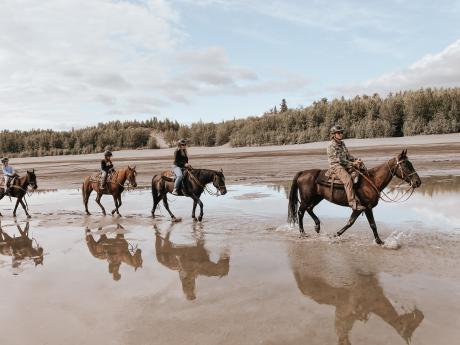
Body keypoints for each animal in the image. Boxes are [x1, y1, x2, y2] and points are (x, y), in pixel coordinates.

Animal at [288, 149, 420, 243]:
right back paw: (302, 233)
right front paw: (379, 241)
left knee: (309, 209)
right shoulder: (367, 207)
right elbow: (372, 224)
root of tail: (303, 173)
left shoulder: (358, 209)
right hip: (306, 198)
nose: (418, 182)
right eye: (406, 165)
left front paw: (335, 234)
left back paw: (317, 227)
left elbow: (350, 222)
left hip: (317, 198)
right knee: (301, 212)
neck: (372, 180)